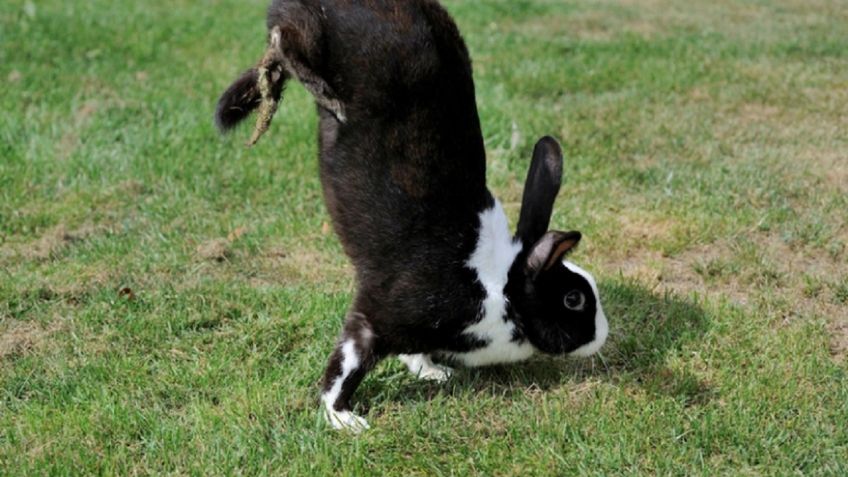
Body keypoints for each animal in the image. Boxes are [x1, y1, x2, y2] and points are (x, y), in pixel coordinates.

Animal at [215, 0, 608, 432]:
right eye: (573, 299)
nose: (602, 336)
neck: (500, 288)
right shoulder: (375, 319)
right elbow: (347, 366)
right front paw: (344, 419)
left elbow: (412, 353)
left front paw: (432, 372)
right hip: (318, 36)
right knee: (285, 36)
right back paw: (323, 94)